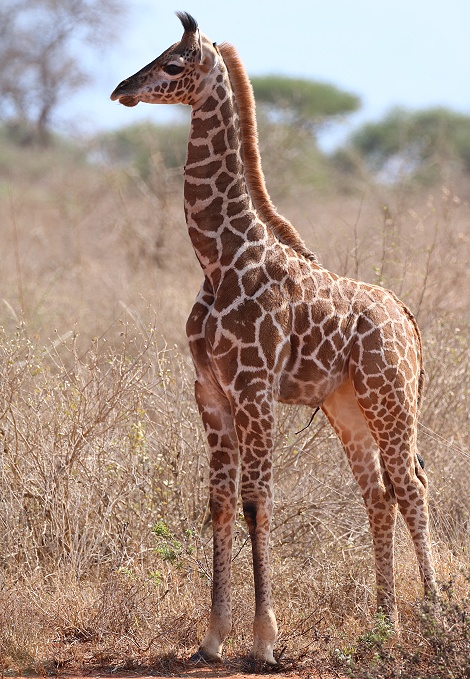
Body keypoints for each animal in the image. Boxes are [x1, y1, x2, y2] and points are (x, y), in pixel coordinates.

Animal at [111, 12, 436, 665]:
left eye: (173, 64)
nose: (121, 90)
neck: (219, 261)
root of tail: (406, 316)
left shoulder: (255, 388)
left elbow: (257, 501)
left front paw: (264, 641)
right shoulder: (210, 392)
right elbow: (218, 503)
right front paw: (211, 639)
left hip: (392, 399)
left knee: (413, 486)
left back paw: (437, 615)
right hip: (348, 407)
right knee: (379, 493)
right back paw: (385, 622)